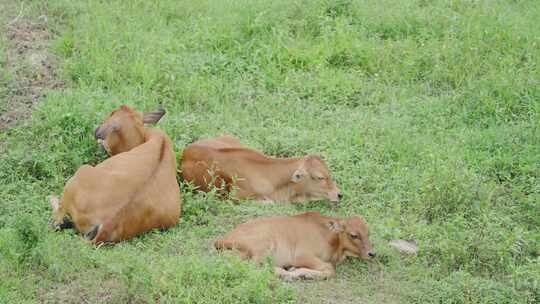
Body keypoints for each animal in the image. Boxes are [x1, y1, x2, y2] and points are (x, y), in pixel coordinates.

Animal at [215, 211, 376, 280]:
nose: (372, 253)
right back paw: (286, 274)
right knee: (254, 267)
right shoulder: (302, 256)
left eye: (368, 232)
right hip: (263, 246)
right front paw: (301, 273)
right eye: (353, 235)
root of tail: (224, 239)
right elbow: (330, 269)